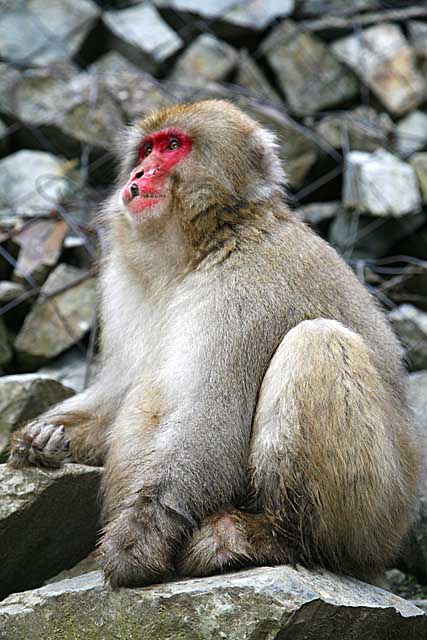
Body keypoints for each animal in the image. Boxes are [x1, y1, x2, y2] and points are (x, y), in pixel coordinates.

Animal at [9, 101, 422, 592]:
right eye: (146, 149)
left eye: (173, 145)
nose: (140, 173)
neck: (196, 250)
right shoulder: (122, 282)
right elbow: (117, 392)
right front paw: (45, 437)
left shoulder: (247, 286)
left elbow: (213, 416)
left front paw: (135, 542)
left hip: (377, 517)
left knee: (316, 341)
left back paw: (272, 539)